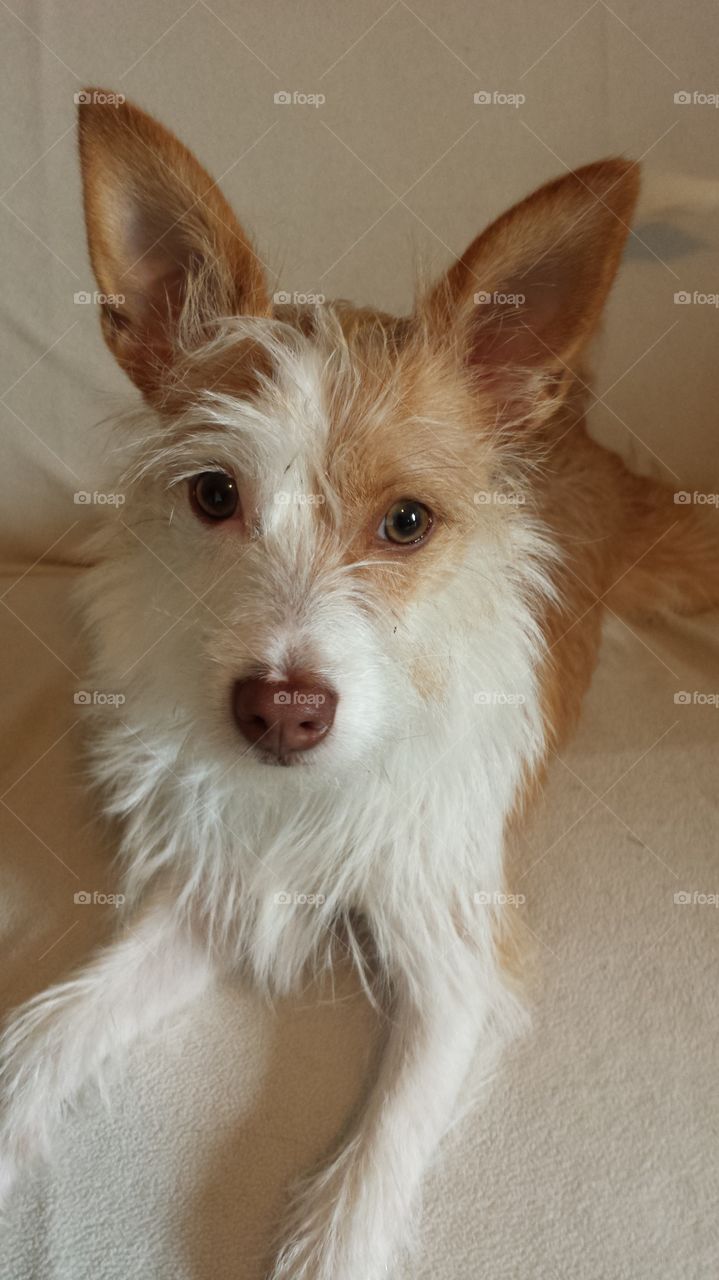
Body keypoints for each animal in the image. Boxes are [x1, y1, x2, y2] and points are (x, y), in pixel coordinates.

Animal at [1, 90, 716, 1280]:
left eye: (408, 521)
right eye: (213, 493)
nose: (278, 710)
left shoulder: (454, 958)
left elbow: (376, 1150)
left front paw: (333, 1237)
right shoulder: (208, 898)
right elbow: (54, 1025)